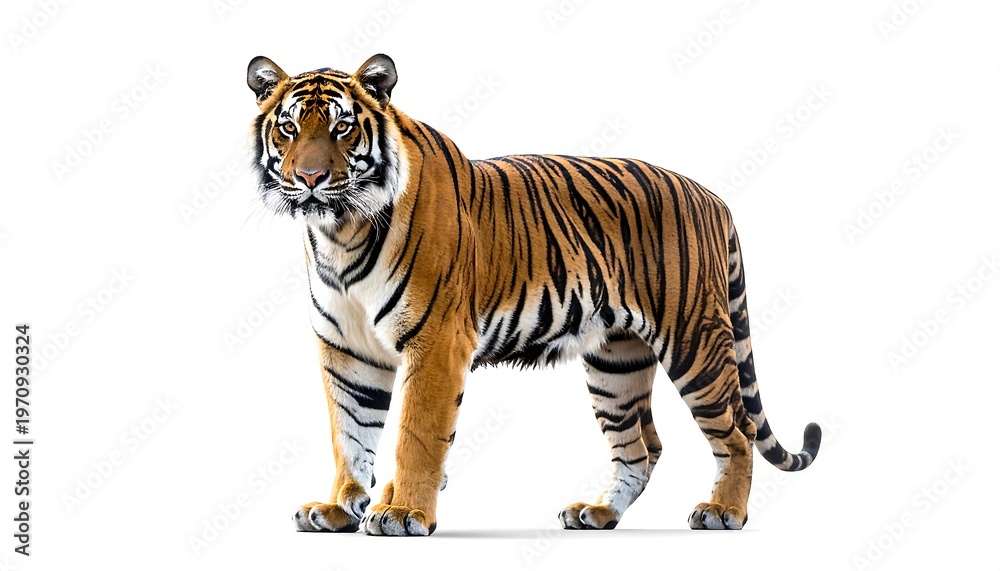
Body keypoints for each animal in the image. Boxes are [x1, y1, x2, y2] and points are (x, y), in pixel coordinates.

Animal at [246, 53, 821, 536]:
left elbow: (416, 435)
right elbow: (350, 434)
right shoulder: (347, 351)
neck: (340, 232)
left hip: (694, 340)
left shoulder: (436, 343)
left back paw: (723, 512)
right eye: (289, 128)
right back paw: (599, 512)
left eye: (342, 128)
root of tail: (713, 197)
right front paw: (338, 508)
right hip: (615, 362)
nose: (310, 177)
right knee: (641, 447)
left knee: (737, 433)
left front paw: (404, 512)